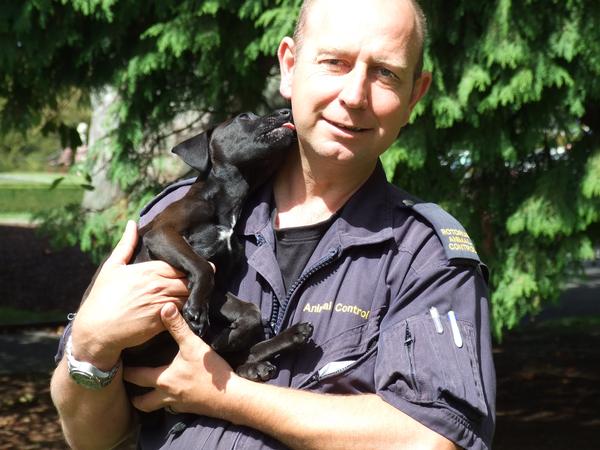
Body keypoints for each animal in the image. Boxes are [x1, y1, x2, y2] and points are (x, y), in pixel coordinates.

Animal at [88, 110, 314, 386]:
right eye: (244, 117)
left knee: (233, 352)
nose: (285, 112)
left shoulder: (218, 287)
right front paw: (197, 310)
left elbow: (250, 310)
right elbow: (202, 266)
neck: (226, 207)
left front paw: (231, 336)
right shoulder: (163, 233)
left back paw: (285, 341)